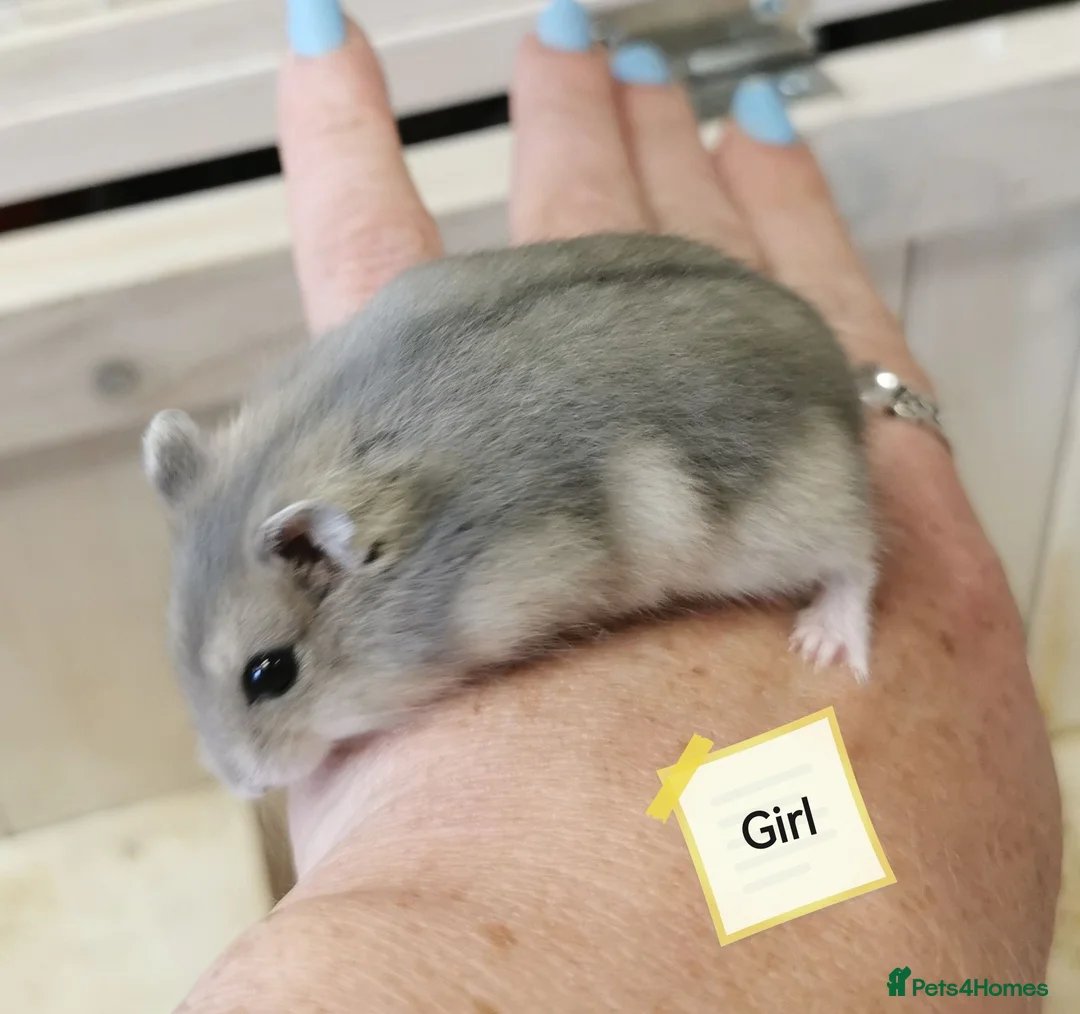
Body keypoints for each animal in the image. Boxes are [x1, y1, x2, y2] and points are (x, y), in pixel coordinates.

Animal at [143, 233, 875, 798]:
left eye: (270, 674)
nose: (244, 786)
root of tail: (842, 379)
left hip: (796, 513)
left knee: (859, 556)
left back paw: (824, 642)